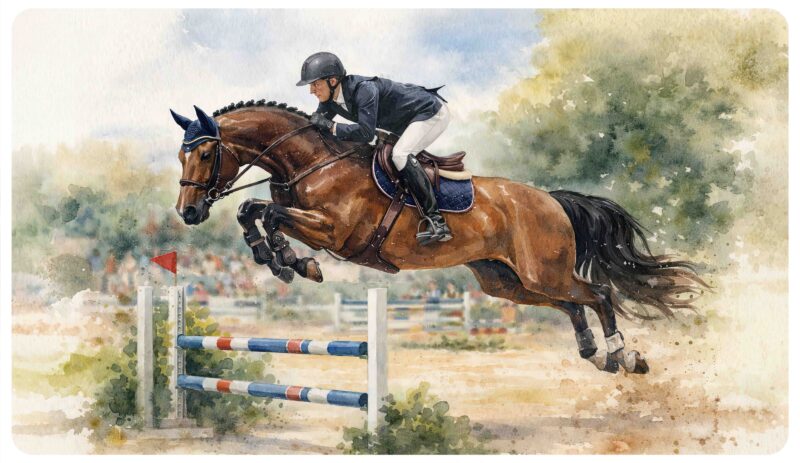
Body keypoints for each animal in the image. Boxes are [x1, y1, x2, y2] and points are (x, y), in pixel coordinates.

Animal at [170, 101, 707, 374]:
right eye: (182, 156)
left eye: (205, 154)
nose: (188, 213)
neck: (313, 160)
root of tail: (551, 200)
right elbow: (253, 210)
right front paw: (278, 258)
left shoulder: (335, 232)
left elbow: (267, 212)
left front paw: (293, 262)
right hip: (508, 281)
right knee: (573, 303)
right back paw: (595, 353)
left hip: (542, 271)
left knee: (598, 293)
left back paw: (622, 354)